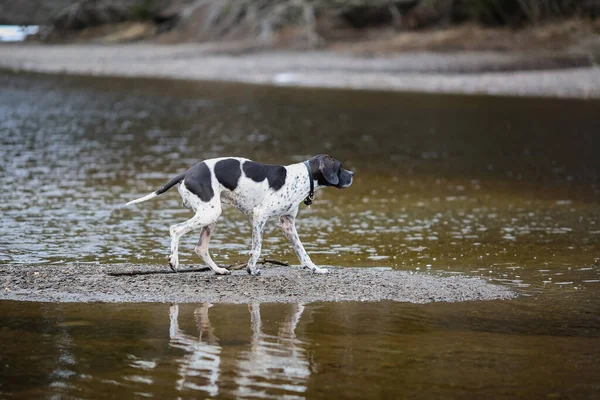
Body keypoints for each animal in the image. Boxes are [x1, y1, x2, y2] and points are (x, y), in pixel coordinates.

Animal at [125, 155, 352, 276]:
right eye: (340, 168)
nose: (352, 174)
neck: (302, 177)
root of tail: (187, 172)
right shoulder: (259, 216)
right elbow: (257, 249)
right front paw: (251, 269)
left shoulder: (287, 224)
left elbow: (303, 252)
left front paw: (315, 269)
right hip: (209, 213)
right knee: (175, 229)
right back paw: (174, 261)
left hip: (211, 216)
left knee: (200, 248)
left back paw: (218, 270)